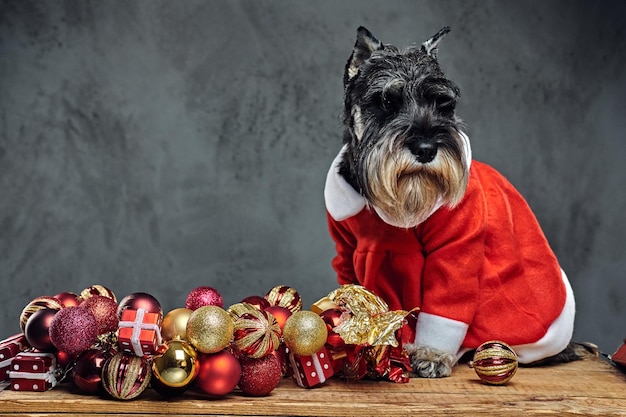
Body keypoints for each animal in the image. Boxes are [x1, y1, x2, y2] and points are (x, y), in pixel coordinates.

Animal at [324, 26, 584, 376]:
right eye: (386, 101)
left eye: (443, 104)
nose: (425, 148)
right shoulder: (347, 251)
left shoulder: (455, 251)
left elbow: (446, 305)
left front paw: (432, 354)